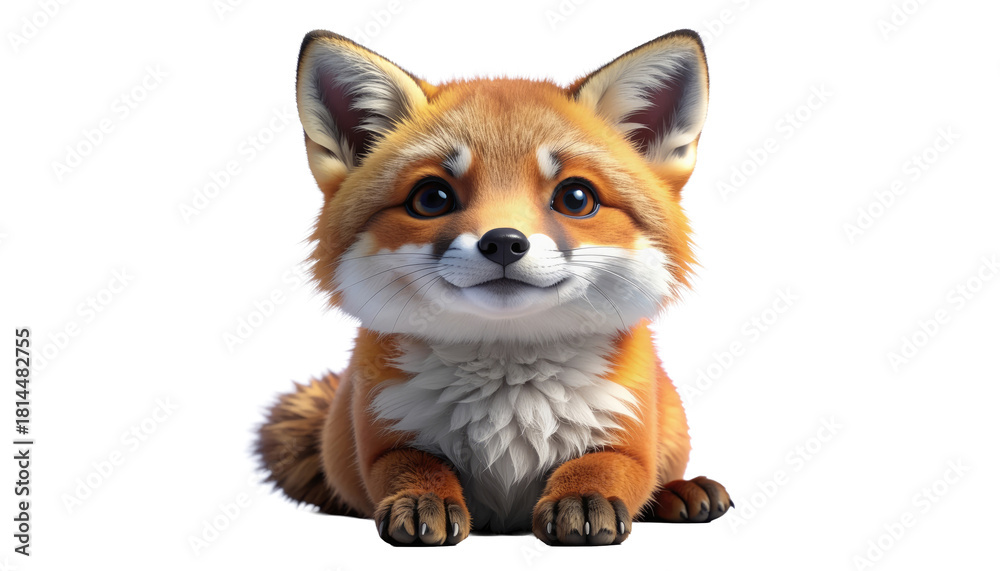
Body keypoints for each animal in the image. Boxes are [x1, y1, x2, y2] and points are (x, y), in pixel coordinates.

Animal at [255, 29, 733, 546]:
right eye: (432, 198)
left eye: (576, 198)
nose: (504, 242)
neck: (510, 401)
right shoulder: (382, 433)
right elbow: (411, 465)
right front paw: (423, 498)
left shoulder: (629, 430)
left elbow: (607, 465)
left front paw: (585, 497)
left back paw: (681, 492)